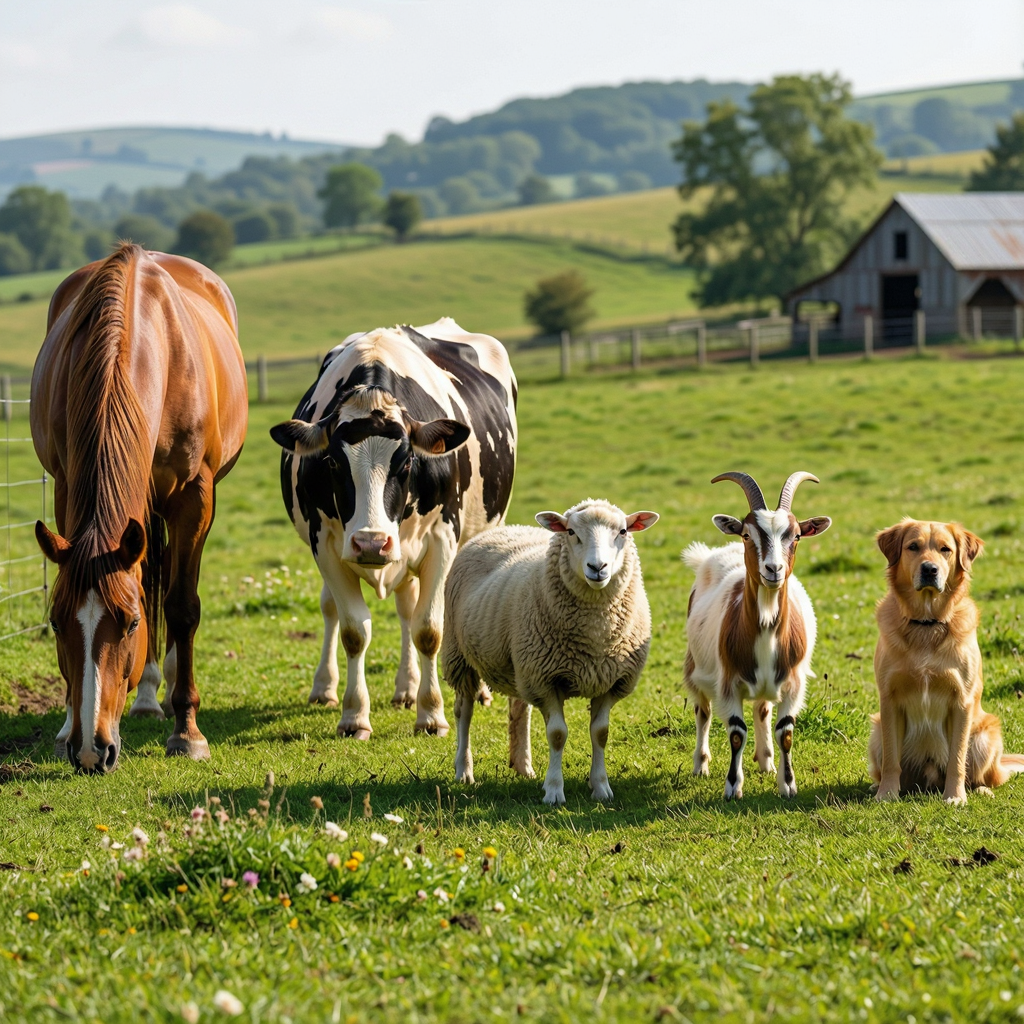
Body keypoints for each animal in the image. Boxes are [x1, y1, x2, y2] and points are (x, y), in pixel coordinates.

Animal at [31, 243, 248, 772]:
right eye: (55, 621)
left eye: (129, 624)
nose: (92, 751)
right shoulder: (67, 487)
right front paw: (67, 724)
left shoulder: (194, 496)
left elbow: (181, 606)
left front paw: (188, 732)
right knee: (148, 574)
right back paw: (147, 696)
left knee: (163, 584)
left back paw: (163, 694)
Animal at [270, 318, 517, 739]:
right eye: (332, 463)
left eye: (406, 463)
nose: (371, 543)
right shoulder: (326, 545)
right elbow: (354, 630)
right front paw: (354, 716)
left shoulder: (441, 539)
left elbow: (428, 629)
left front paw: (431, 714)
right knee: (344, 608)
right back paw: (344, 688)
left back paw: (467, 690)